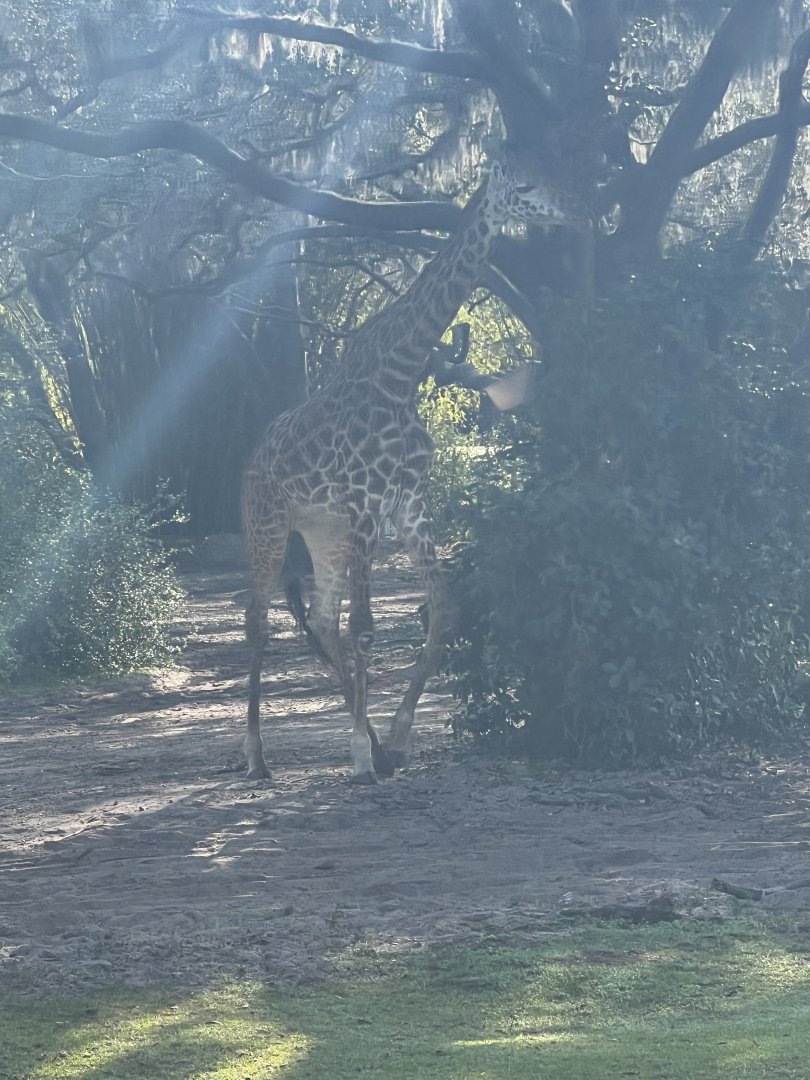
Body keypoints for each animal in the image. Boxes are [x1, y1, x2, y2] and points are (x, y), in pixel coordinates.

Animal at [242, 155, 587, 784]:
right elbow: (366, 627)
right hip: (269, 524)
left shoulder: (408, 505)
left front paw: (397, 742)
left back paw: (373, 745)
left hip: (321, 531)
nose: (578, 210)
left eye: (555, 172)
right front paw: (360, 755)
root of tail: (251, 461)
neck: (401, 375)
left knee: (321, 619)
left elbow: (444, 611)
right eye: (524, 185)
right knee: (259, 619)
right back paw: (257, 755)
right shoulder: (363, 506)